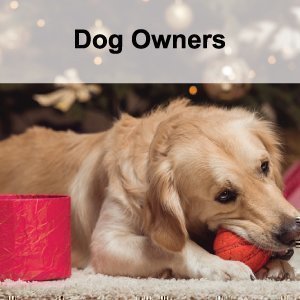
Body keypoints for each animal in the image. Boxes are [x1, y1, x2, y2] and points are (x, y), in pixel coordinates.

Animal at [0, 99, 300, 280]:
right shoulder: (107, 242)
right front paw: (220, 265)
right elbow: (167, 247)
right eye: (224, 196)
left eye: (264, 166)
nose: (293, 231)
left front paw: (274, 264)